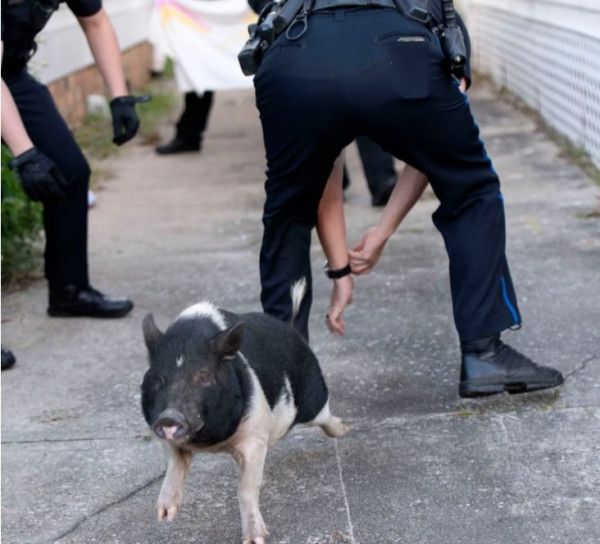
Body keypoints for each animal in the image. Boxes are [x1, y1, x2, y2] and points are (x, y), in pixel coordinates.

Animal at [141, 280, 350, 544]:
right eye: (158, 379)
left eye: (203, 376)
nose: (169, 416)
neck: (212, 443)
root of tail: (295, 331)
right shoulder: (164, 433)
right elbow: (174, 465)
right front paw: (164, 515)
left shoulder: (255, 437)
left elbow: (245, 488)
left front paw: (255, 540)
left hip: (313, 402)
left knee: (325, 416)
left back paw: (346, 429)